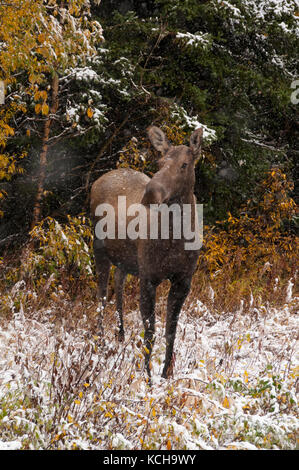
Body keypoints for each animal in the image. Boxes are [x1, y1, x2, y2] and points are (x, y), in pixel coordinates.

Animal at [91, 126, 204, 382]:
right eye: (159, 161)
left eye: (184, 164)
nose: (151, 193)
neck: (175, 238)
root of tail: (98, 180)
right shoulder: (149, 278)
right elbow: (150, 329)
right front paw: (147, 376)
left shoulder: (184, 280)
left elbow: (171, 329)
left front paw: (167, 372)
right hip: (99, 249)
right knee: (101, 295)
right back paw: (100, 342)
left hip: (125, 259)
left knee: (118, 284)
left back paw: (120, 334)